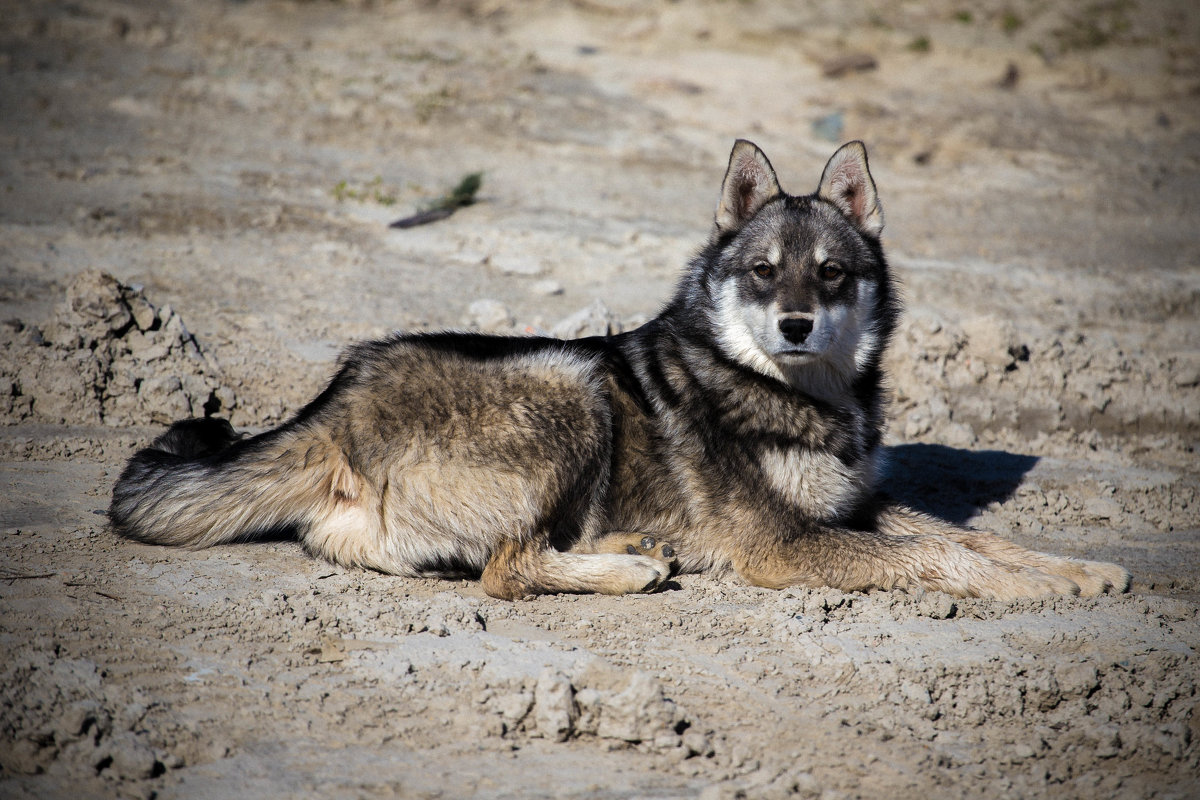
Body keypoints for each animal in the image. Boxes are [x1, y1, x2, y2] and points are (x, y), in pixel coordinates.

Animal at [108, 139, 1128, 599]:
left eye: (832, 273)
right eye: (765, 273)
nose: (796, 323)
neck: (796, 395)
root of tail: (338, 397)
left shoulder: (853, 503)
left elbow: (972, 539)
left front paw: (1075, 569)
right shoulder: (786, 544)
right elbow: (932, 556)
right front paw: (1036, 589)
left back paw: (633, 549)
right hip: (571, 387)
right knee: (506, 570)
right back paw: (629, 572)